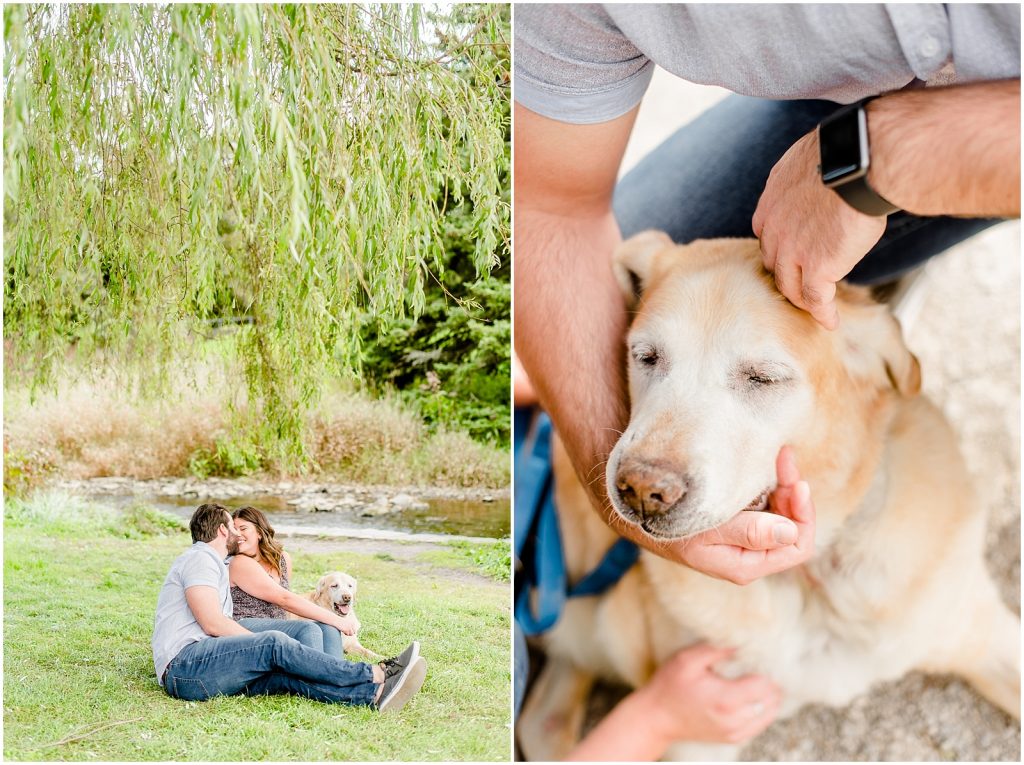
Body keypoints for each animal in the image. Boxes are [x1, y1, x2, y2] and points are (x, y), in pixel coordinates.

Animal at [516, 233, 1019, 761]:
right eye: (647, 356)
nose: (642, 492)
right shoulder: (701, 726)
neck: (811, 575)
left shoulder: (981, 630)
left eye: (763, 378)